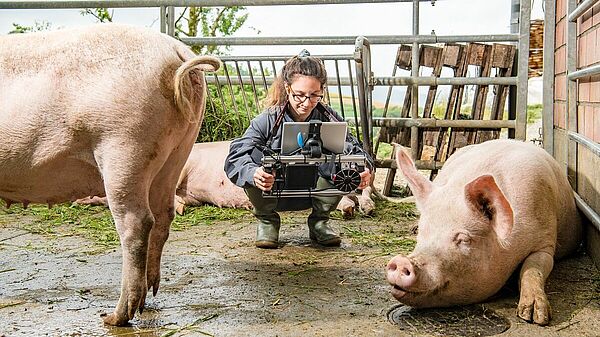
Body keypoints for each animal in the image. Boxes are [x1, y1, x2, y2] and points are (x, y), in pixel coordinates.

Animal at [0, 24, 220, 326]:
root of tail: (177, 51)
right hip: (178, 150)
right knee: (163, 216)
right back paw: (148, 300)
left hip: (124, 147)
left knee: (137, 222)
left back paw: (114, 317)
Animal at [384, 138, 580, 324]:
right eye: (422, 232)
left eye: (464, 239)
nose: (402, 262)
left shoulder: (546, 240)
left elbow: (533, 268)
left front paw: (534, 316)